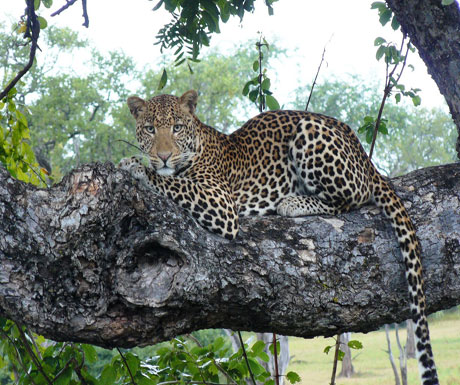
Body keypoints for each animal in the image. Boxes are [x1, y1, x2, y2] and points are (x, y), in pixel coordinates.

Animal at [118, 89, 438, 384]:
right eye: (150, 129)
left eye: (176, 127)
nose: (163, 157)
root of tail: (364, 154)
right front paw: (141, 164)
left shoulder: (221, 204)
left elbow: (174, 182)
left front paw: (135, 166)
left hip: (311, 134)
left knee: (351, 198)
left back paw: (292, 202)